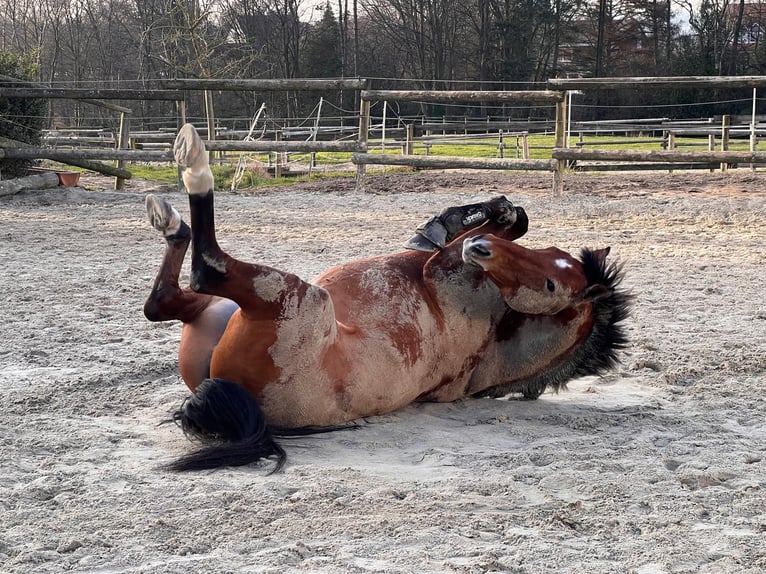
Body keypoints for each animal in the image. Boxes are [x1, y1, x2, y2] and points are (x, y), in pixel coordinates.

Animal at [147, 125, 632, 472]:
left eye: (552, 286)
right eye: (551, 256)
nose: (481, 252)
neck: (492, 334)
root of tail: (235, 396)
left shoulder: (437, 267)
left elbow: (468, 236)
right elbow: (508, 223)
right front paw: (484, 213)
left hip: (294, 296)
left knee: (205, 269)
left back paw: (191, 165)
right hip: (216, 313)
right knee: (161, 303)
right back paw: (170, 219)